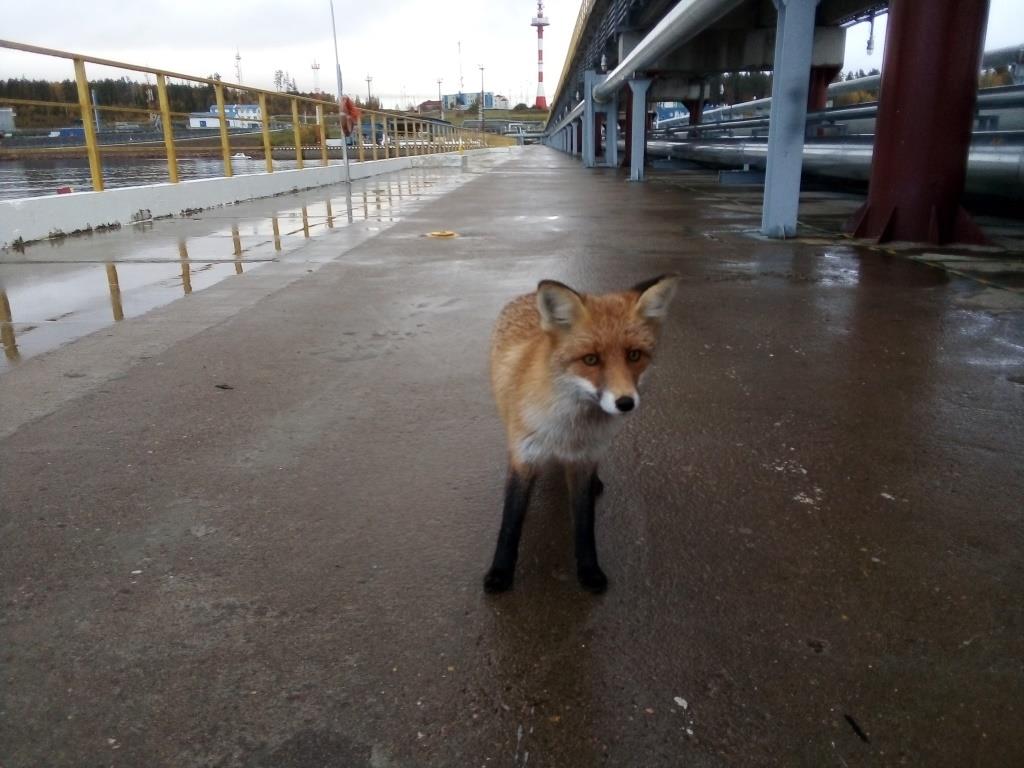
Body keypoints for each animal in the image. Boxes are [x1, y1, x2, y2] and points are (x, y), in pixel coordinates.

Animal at [484, 274, 679, 594]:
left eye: (634, 355)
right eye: (591, 360)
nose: (625, 402)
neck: (567, 429)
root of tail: (526, 295)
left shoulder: (583, 459)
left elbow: (585, 523)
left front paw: (589, 570)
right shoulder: (524, 455)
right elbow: (510, 521)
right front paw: (500, 572)